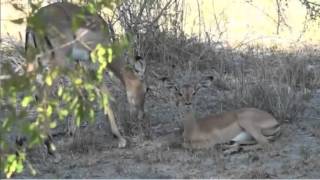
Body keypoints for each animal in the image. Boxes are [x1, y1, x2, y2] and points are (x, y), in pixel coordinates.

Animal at [24, 2, 147, 150]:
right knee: (42, 96)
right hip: (57, 64)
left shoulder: (78, 65)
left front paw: (72, 133)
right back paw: (50, 146)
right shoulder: (92, 64)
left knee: (36, 94)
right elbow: (105, 95)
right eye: (146, 90)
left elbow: (79, 93)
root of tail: (33, 25)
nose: (141, 116)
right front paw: (120, 137)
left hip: (35, 64)